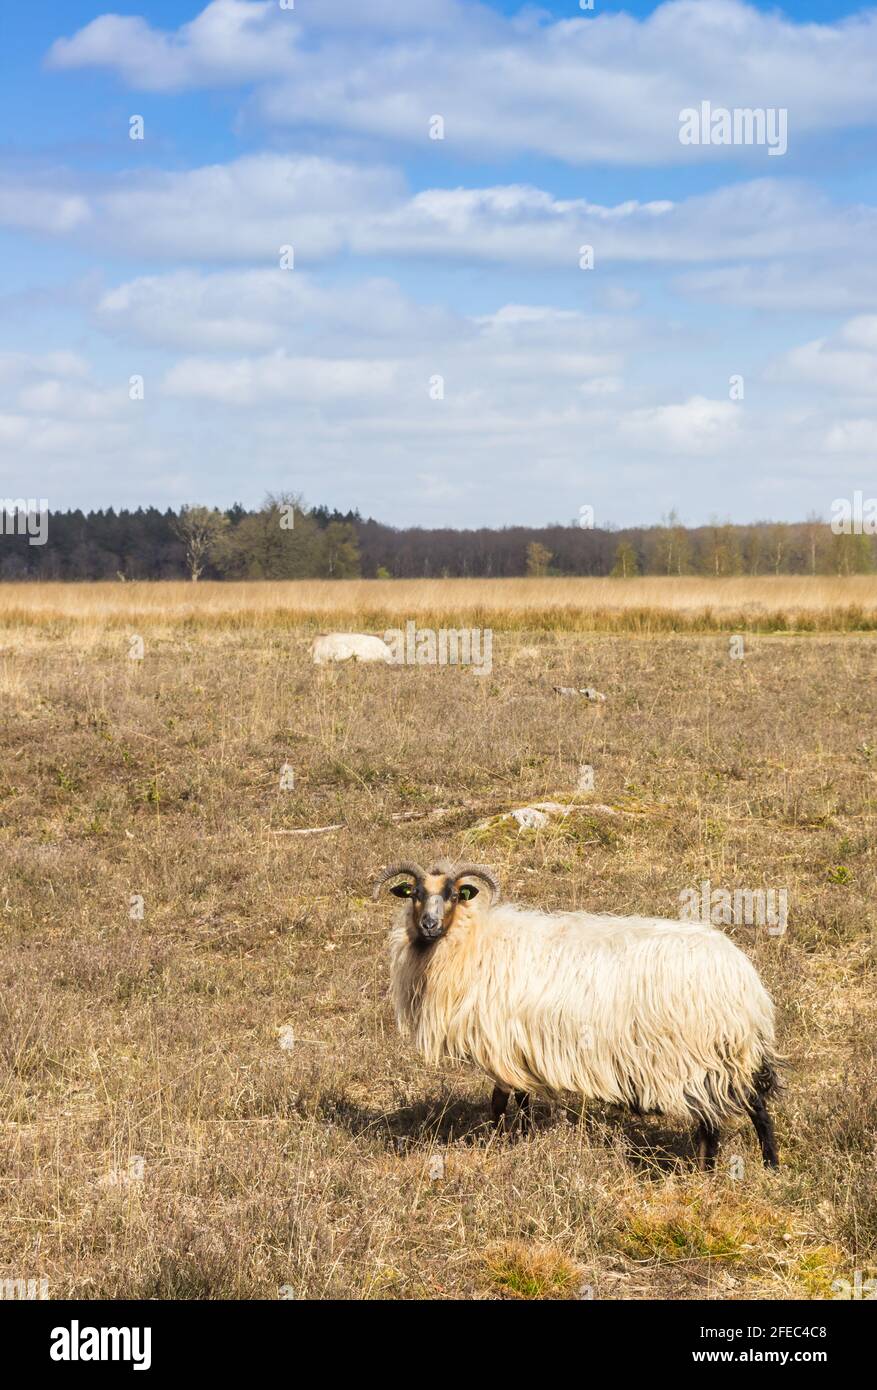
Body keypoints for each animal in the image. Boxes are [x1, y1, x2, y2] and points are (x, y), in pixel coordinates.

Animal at [373, 859, 780, 1169]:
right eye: (416, 894)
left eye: (455, 895)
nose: (429, 925)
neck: (472, 941)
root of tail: (744, 977)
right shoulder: (522, 1045)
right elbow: (521, 1100)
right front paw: (519, 1138)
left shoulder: (502, 1041)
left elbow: (502, 1101)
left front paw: (500, 1140)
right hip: (725, 1053)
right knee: (737, 1109)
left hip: (704, 1053)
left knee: (735, 1111)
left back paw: (740, 1167)